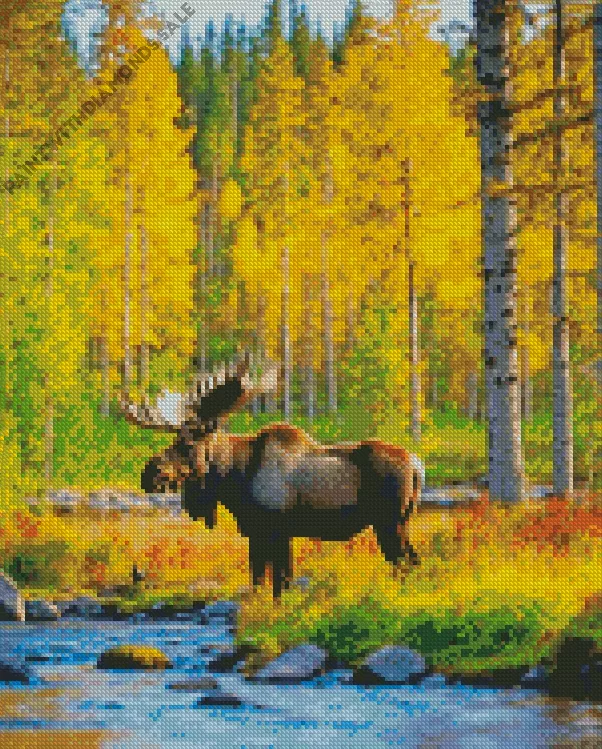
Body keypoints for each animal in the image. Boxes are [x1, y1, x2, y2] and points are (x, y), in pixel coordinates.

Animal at [121, 356, 422, 597]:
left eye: (187, 443)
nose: (149, 473)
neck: (234, 477)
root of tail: (418, 467)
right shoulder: (258, 532)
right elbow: (259, 581)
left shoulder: (276, 529)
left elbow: (280, 583)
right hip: (402, 521)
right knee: (412, 561)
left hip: (389, 522)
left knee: (406, 563)